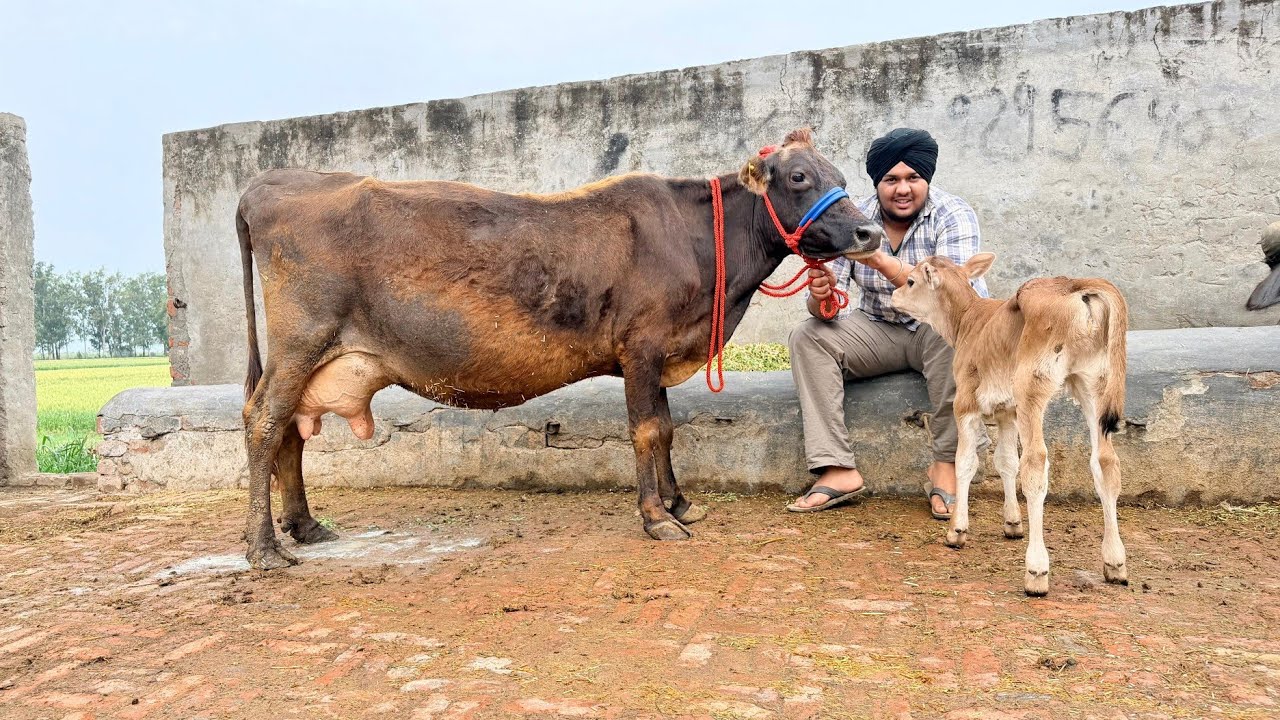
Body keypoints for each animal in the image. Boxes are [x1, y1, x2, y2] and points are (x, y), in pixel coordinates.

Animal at [236, 129, 884, 570]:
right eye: (797, 178)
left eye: (837, 172)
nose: (869, 231)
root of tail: (271, 184)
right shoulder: (641, 345)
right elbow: (647, 429)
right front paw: (656, 518)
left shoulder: (656, 353)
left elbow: (668, 429)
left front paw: (679, 504)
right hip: (301, 339)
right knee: (264, 419)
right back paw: (264, 548)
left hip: (316, 356)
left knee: (291, 429)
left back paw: (305, 526)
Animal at [890, 253, 1129, 596]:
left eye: (910, 281)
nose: (893, 296)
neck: (969, 321)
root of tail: (1075, 285)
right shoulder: (1008, 411)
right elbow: (1005, 462)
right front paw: (1013, 523)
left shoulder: (966, 403)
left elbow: (966, 462)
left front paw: (957, 530)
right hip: (1094, 382)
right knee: (1106, 462)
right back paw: (1115, 562)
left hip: (1032, 384)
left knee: (1036, 463)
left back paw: (1037, 571)